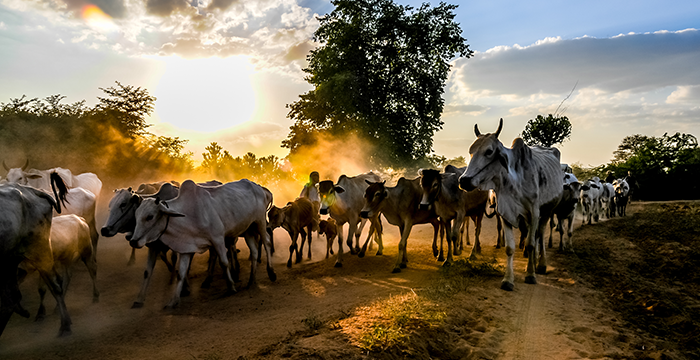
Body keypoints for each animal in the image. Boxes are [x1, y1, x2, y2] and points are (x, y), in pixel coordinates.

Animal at [130, 179, 274, 308]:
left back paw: (271, 272)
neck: (188, 214)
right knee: (254, 251)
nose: (133, 241)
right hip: (248, 229)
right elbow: (181, 274)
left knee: (266, 242)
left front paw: (231, 287)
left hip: (260, 222)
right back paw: (251, 280)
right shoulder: (186, 249)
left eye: (150, 216)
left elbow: (224, 263)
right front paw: (173, 301)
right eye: (136, 216)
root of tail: (260, 187)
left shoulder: (218, 239)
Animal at [460, 119, 564, 292]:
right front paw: (508, 279)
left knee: (540, 235)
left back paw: (541, 265)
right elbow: (510, 248)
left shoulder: (534, 213)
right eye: (470, 151)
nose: (464, 180)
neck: (513, 182)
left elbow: (530, 244)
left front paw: (530, 275)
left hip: (547, 211)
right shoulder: (506, 214)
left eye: (489, 151)